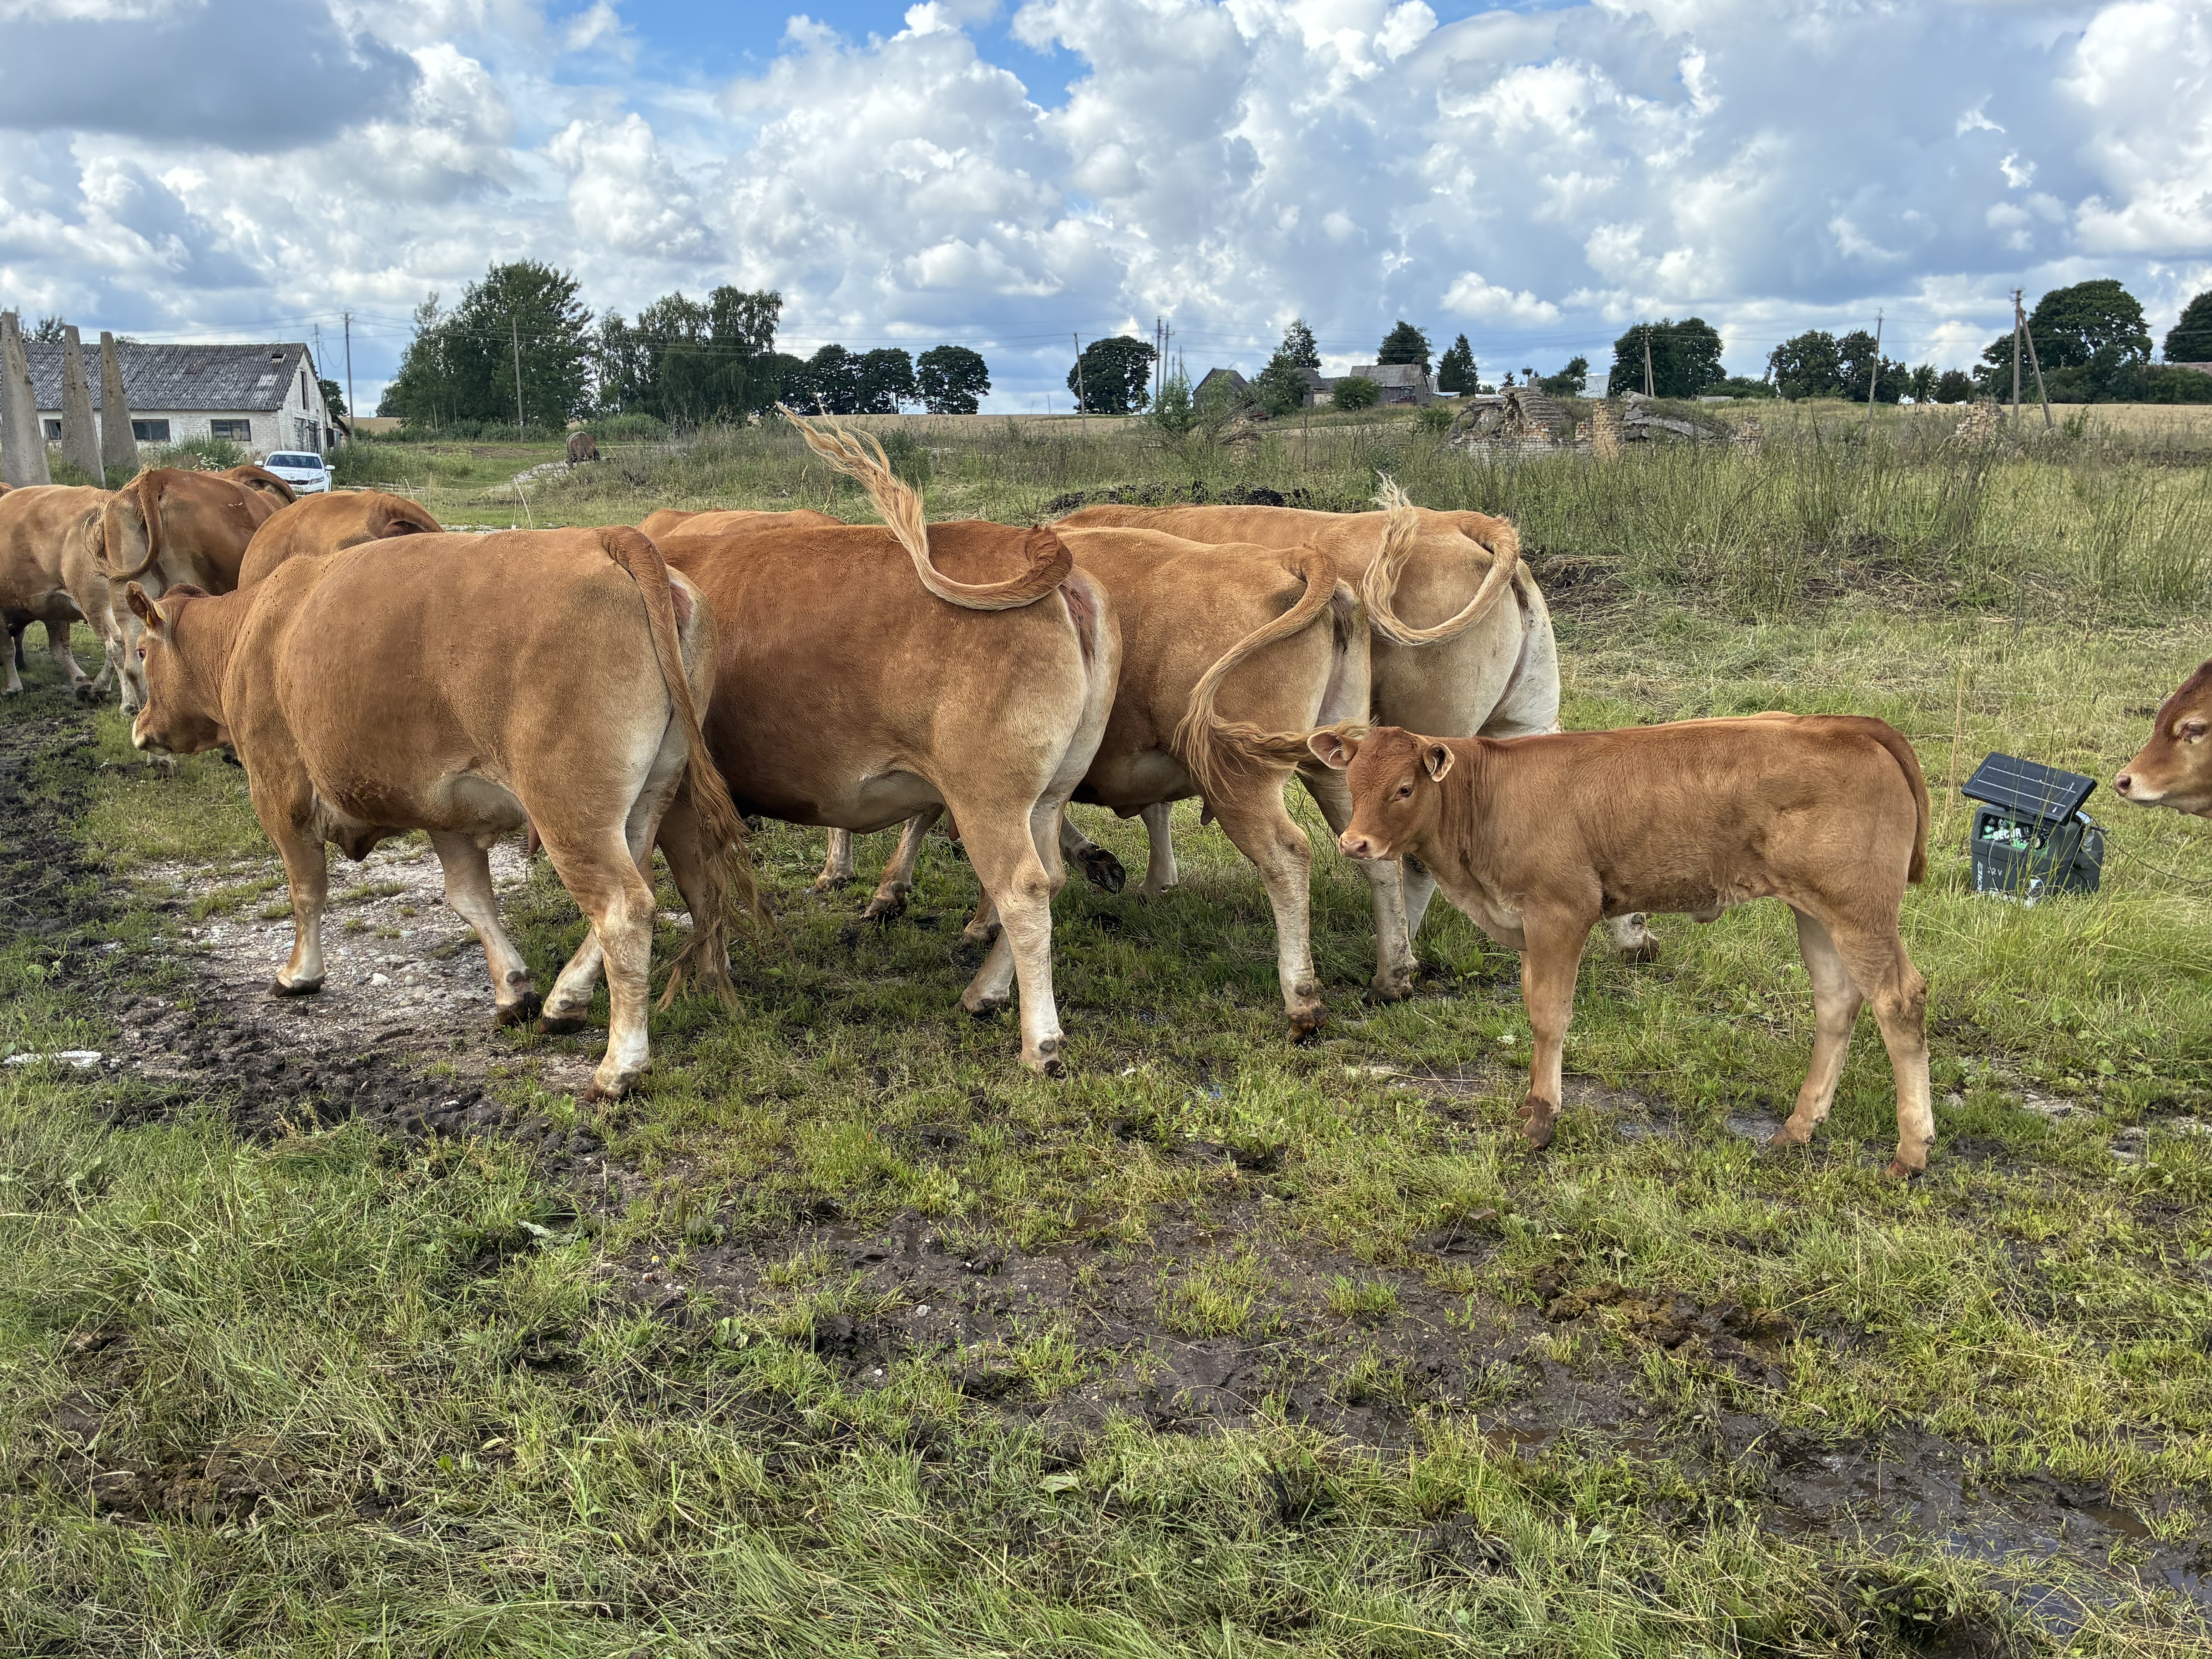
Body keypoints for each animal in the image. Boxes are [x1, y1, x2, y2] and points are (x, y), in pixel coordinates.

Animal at [0, 485, 119, 696]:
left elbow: (7, 649)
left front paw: (13, 687)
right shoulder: (52, 606)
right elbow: (60, 649)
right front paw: (81, 681)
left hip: (98, 605)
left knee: (117, 644)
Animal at [123, 527, 751, 1099]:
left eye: (141, 652)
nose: (139, 726)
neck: (251, 630)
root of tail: (608, 538)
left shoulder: (279, 790)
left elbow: (306, 892)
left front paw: (299, 974)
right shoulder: (447, 811)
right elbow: (470, 900)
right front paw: (514, 991)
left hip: (569, 809)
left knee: (623, 909)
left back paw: (619, 1067)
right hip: (648, 796)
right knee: (641, 883)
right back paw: (565, 1001)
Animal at [639, 412, 1118, 1074]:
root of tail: (1039, 551)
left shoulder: (678, 796)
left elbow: (696, 888)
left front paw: (710, 977)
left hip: (988, 799)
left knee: (1023, 892)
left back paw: (1039, 1041)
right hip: (1047, 795)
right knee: (1049, 877)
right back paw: (983, 991)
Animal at [1052, 491, 1656, 990]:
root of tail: (1463, 523)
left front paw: (1109, 865)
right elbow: (1148, 810)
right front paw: (1149, 881)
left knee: (1407, 859)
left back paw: (1394, 952)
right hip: (1522, 721)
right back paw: (1631, 939)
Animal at [1311, 717, 1934, 1175]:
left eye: (1404, 788)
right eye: (1354, 784)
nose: (1354, 843)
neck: (1485, 800)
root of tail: (1848, 725)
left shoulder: (1561, 911)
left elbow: (1550, 1016)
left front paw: (1541, 1120)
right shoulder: (1525, 922)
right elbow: (1534, 1005)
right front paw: (1533, 1103)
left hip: (1860, 908)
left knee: (1899, 1001)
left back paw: (1911, 1153)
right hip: (1816, 910)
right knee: (1837, 1002)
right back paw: (1798, 1130)